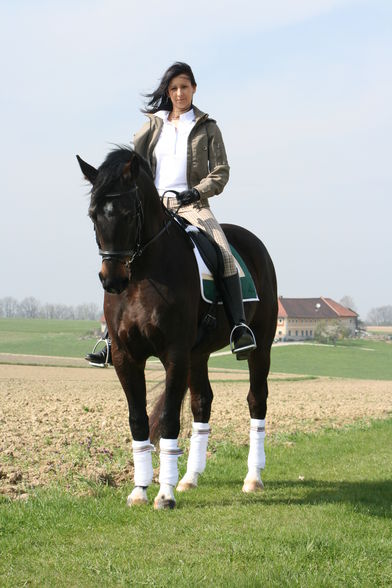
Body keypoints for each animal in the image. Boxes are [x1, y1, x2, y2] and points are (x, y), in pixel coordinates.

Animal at [77, 148, 278, 510]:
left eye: (127, 214)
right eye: (93, 215)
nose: (112, 280)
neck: (142, 276)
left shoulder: (174, 354)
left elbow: (170, 418)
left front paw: (164, 494)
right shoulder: (127, 357)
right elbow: (138, 420)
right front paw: (140, 490)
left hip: (261, 347)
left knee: (257, 401)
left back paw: (253, 478)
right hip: (198, 356)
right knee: (202, 404)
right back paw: (189, 478)